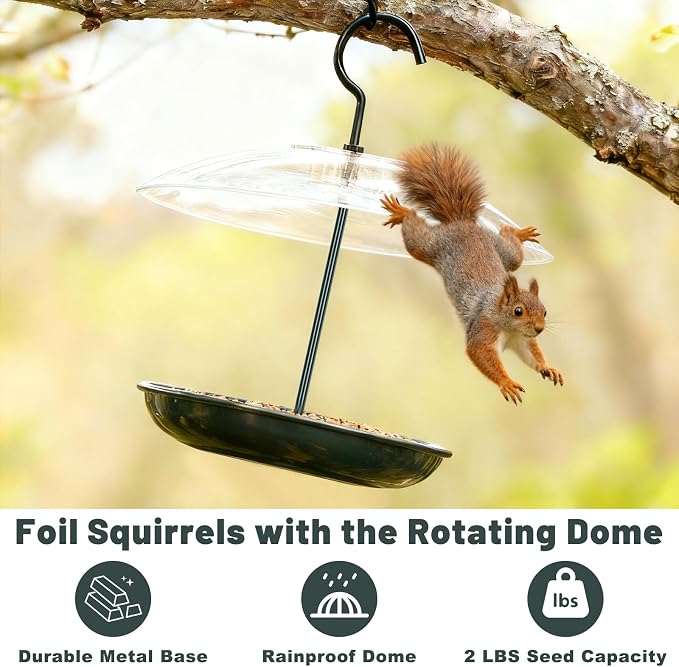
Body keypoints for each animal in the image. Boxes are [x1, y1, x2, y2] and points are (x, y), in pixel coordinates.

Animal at [381, 143, 563, 404]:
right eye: (518, 311)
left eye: (544, 311)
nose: (539, 328)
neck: (507, 325)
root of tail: (462, 222)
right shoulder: (482, 329)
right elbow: (479, 353)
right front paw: (507, 383)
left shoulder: (522, 340)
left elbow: (532, 354)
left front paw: (548, 367)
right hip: (428, 245)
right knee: (414, 229)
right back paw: (401, 212)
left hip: (507, 255)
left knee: (509, 239)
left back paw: (519, 233)